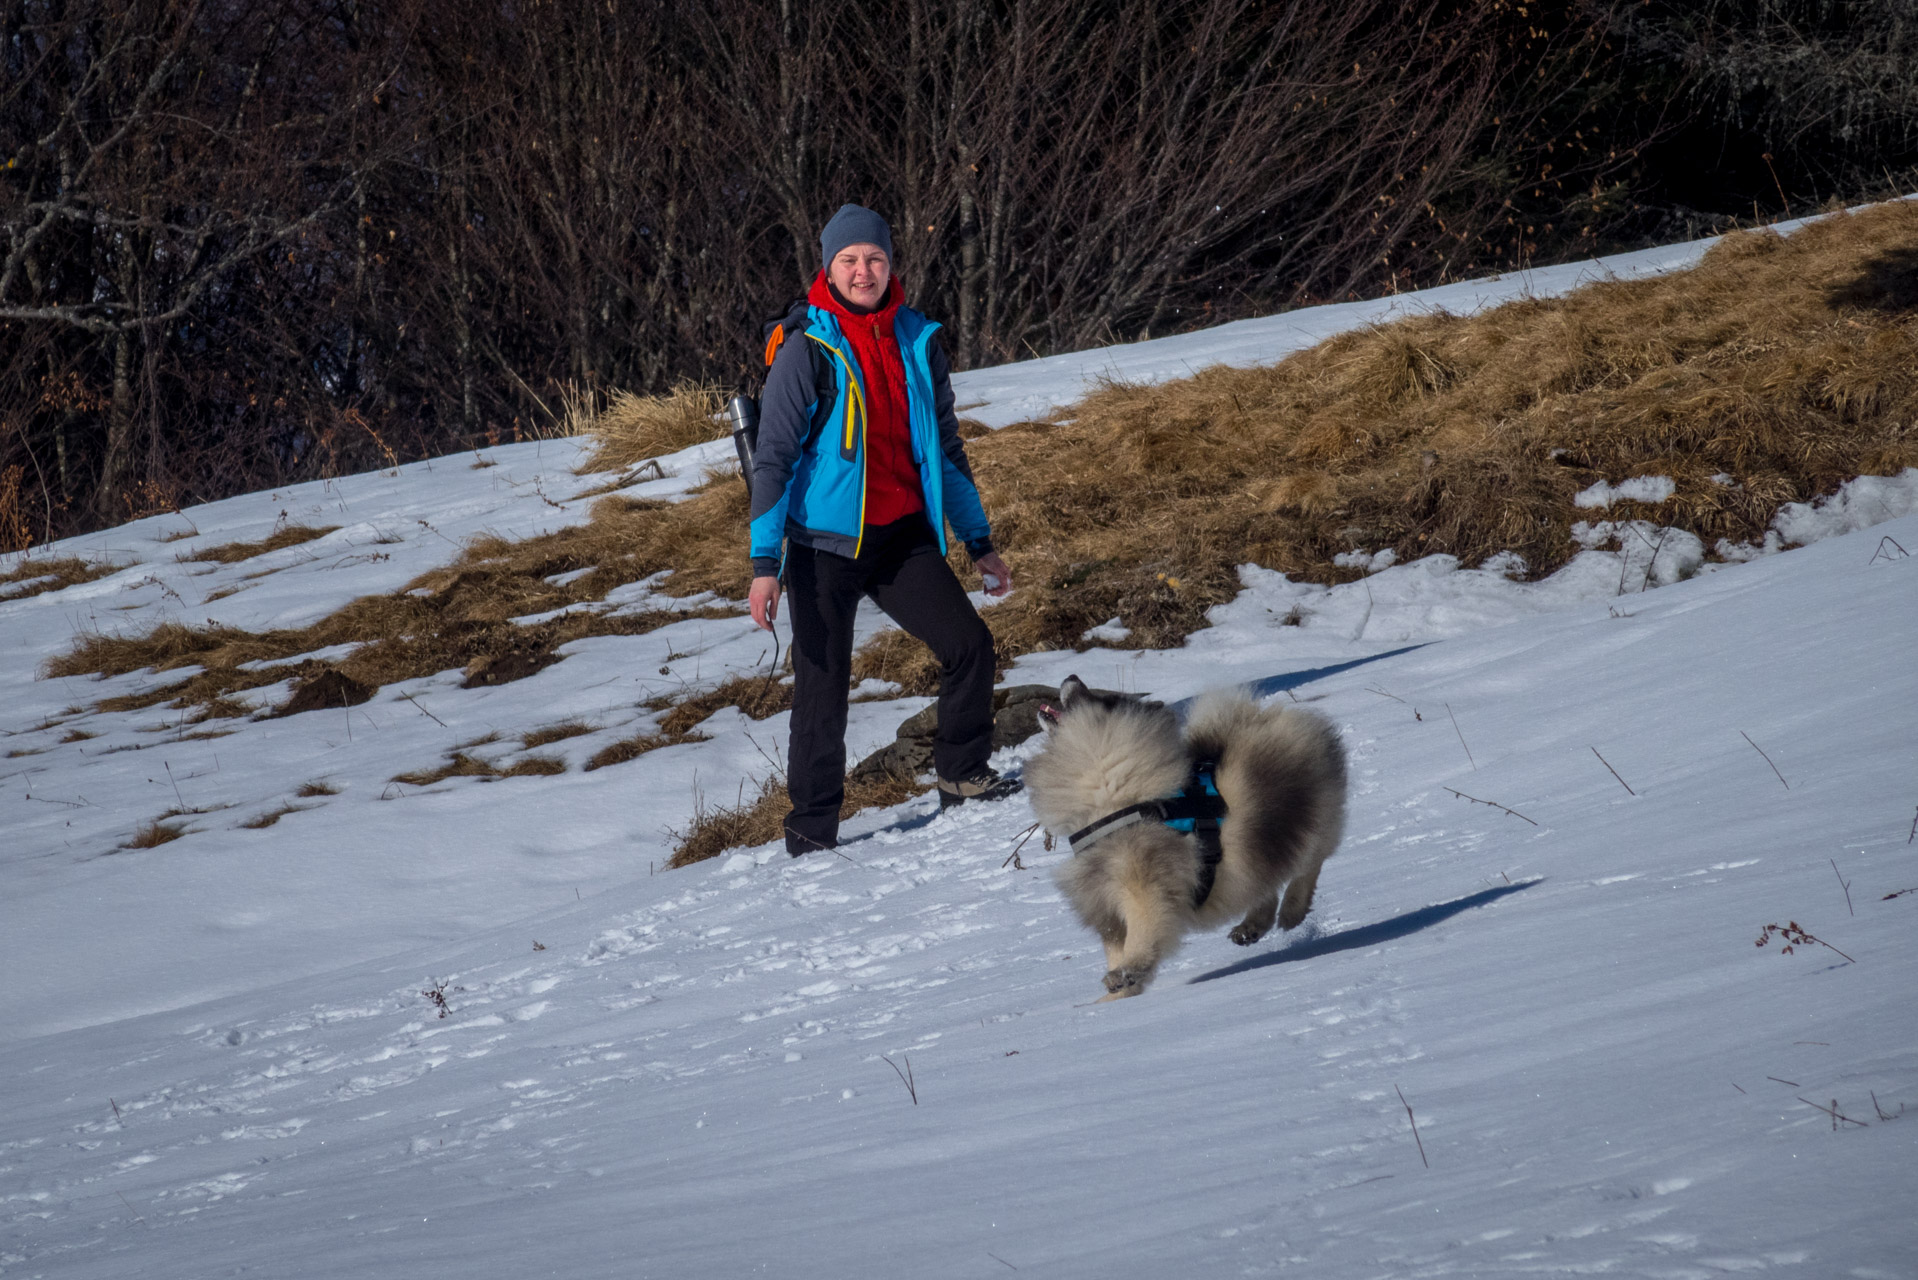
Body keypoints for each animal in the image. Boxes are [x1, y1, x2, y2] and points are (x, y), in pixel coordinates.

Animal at [1035, 675, 1350, 1005]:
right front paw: (1114, 999)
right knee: (1264, 885)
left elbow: (1141, 936)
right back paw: (1251, 926)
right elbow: (1116, 949)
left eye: (1096, 697)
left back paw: (1292, 909)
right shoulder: (1104, 902)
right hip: (1258, 850)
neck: (1116, 800)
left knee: (1309, 865)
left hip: (1306, 822)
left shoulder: (1145, 889)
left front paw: (1125, 973)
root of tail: (1273, 719)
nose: (1071, 676)